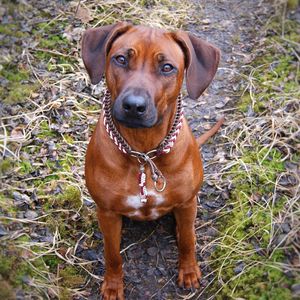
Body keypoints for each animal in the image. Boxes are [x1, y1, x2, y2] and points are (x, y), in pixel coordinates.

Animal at [82, 22, 223, 298]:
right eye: (121, 59)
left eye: (167, 67)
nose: (133, 106)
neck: (144, 153)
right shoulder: (107, 213)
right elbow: (112, 254)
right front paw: (113, 285)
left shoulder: (187, 203)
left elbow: (188, 242)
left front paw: (189, 271)